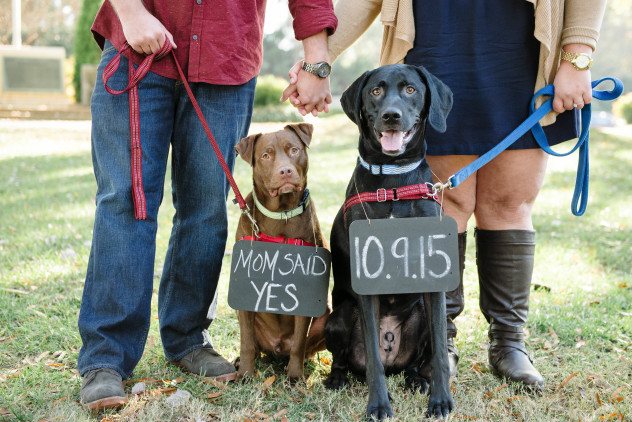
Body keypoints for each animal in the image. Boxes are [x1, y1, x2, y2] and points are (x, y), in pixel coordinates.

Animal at [233, 122, 328, 380]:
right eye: (266, 156)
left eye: (293, 150)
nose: (285, 171)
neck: (281, 214)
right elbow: (246, 342)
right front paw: (245, 375)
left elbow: (299, 343)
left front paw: (295, 377)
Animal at [326, 63, 454, 418]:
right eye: (376, 91)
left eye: (411, 90)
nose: (391, 116)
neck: (394, 184)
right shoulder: (366, 285)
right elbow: (372, 358)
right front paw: (379, 404)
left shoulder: (434, 283)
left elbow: (440, 353)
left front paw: (440, 400)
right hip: (339, 315)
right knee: (349, 359)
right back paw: (337, 378)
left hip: (422, 315)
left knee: (416, 360)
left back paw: (417, 380)